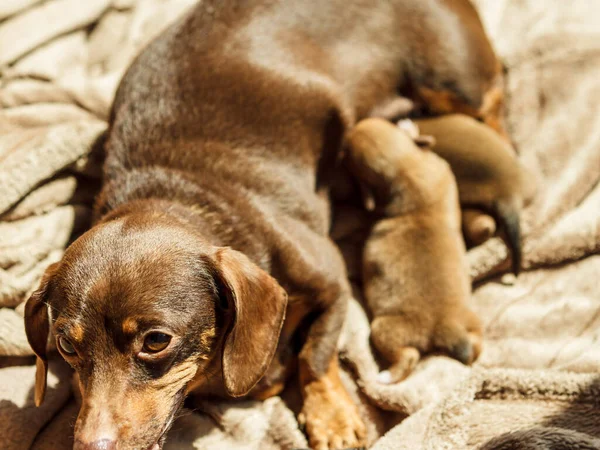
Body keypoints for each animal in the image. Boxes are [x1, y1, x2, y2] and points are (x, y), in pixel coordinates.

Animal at [344, 118, 480, 384]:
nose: (354, 125)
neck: (406, 171)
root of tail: (445, 326)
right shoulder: (438, 168)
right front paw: (411, 130)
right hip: (473, 320)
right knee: (477, 343)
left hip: (383, 329)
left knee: (408, 356)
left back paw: (386, 376)